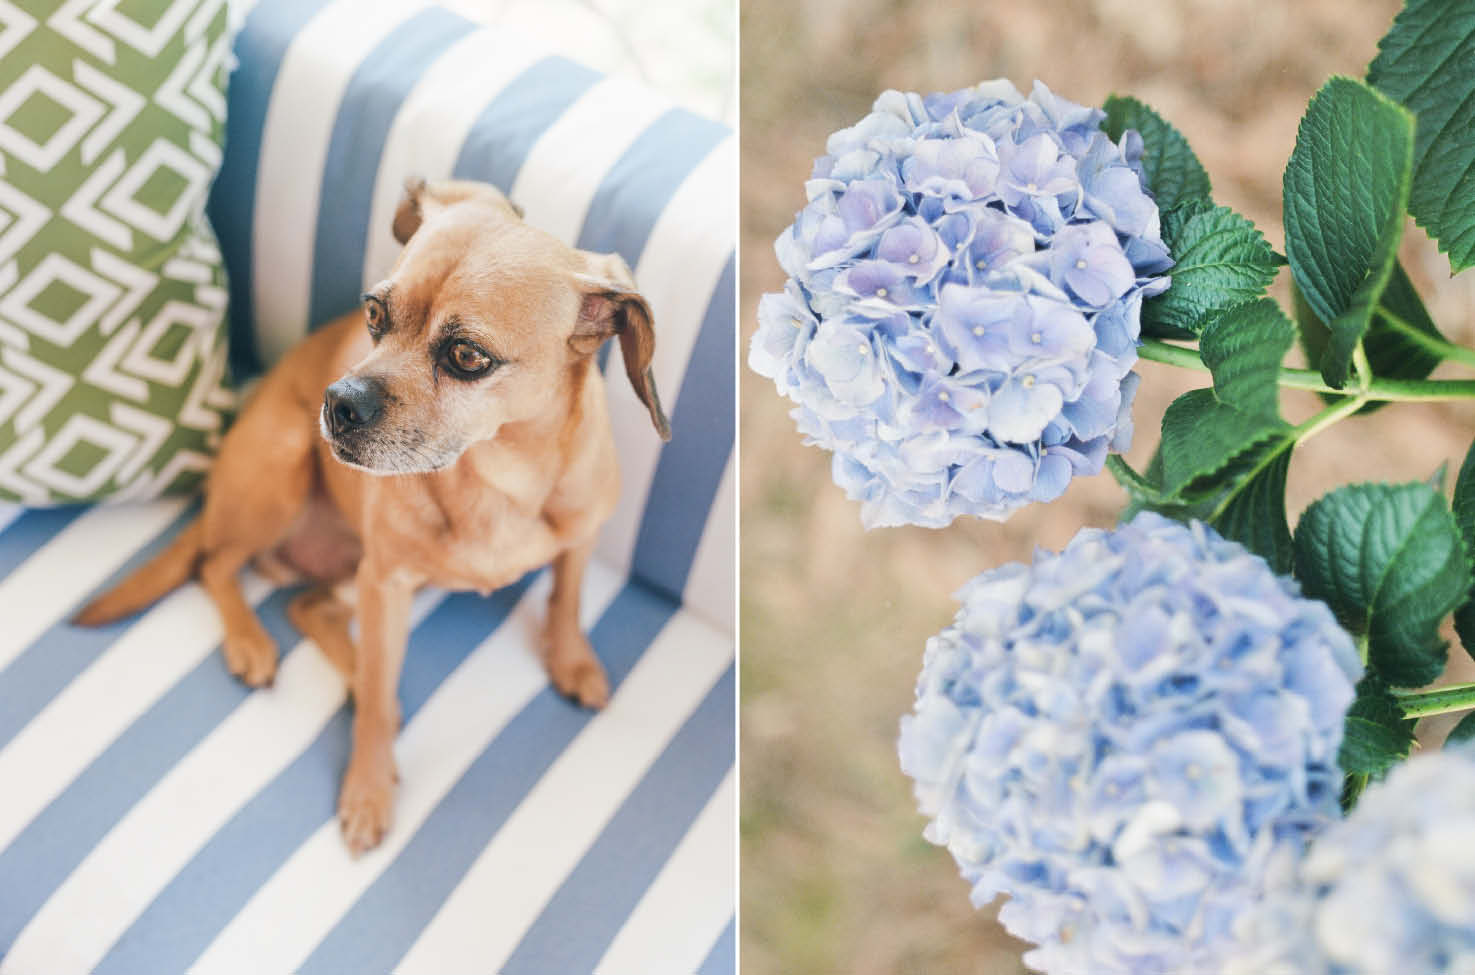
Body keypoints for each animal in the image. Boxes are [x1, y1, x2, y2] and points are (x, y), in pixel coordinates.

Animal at [71, 174, 666, 849]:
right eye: (375, 313)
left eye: (467, 356)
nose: (337, 403)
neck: (497, 474)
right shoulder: (388, 584)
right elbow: (380, 705)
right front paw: (369, 789)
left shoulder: (579, 539)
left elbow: (566, 600)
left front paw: (572, 662)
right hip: (284, 472)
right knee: (215, 566)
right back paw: (254, 646)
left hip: (350, 567)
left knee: (305, 604)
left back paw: (346, 666)